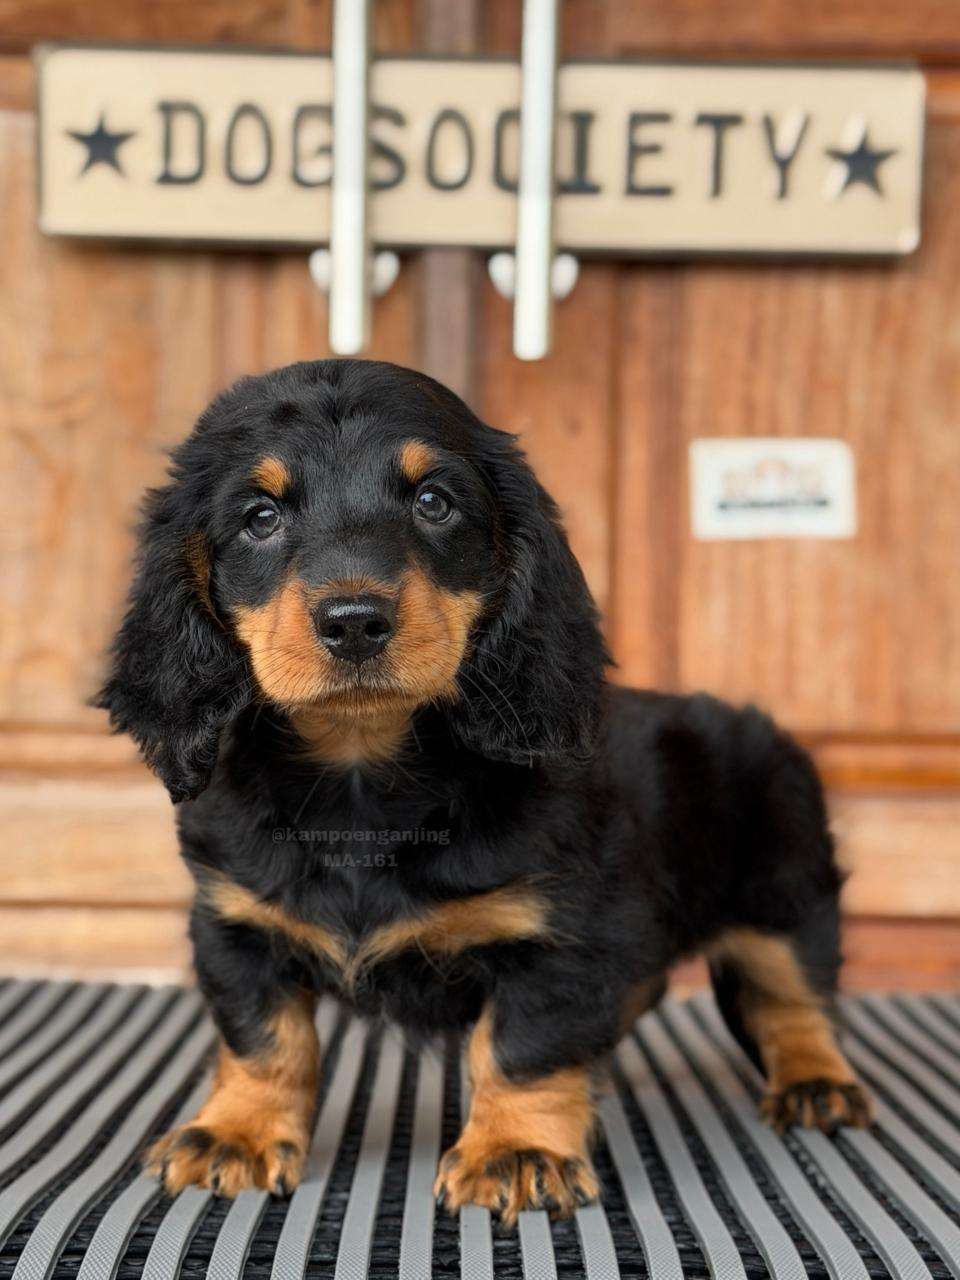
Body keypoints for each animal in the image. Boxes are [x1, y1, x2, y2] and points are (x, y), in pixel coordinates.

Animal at [98, 358, 870, 1223]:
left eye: (435, 502)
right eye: (259, 517)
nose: (355, 621)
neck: (364, 777)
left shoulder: (562, 933)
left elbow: (523, 1044)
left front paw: (516, 1149)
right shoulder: (235, 923)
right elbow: (264, 1038)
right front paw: (237, 1132)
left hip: (786, 891)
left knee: (795, 997)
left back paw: (815, 1083)